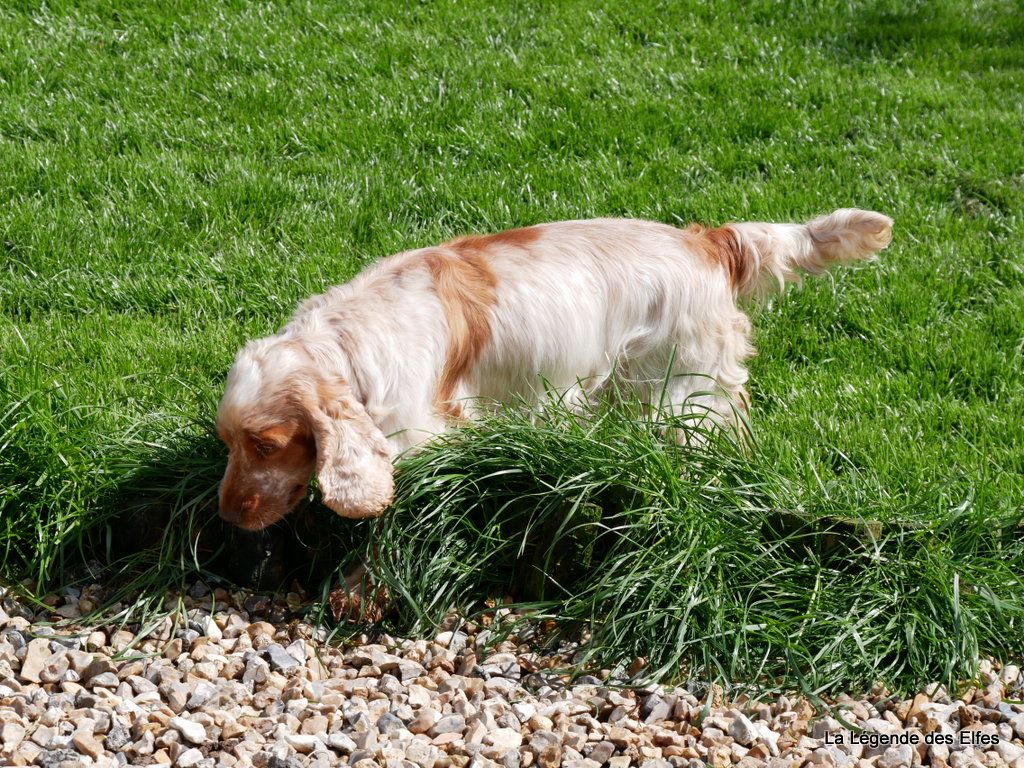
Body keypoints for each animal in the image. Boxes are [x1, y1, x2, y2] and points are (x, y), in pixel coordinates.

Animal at [216, 214, 888, 532]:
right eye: (228, 443)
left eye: (267, 445)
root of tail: (707, 241)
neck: (346, 339)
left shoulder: (419, 426)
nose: (226, 515)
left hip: (680, 390)